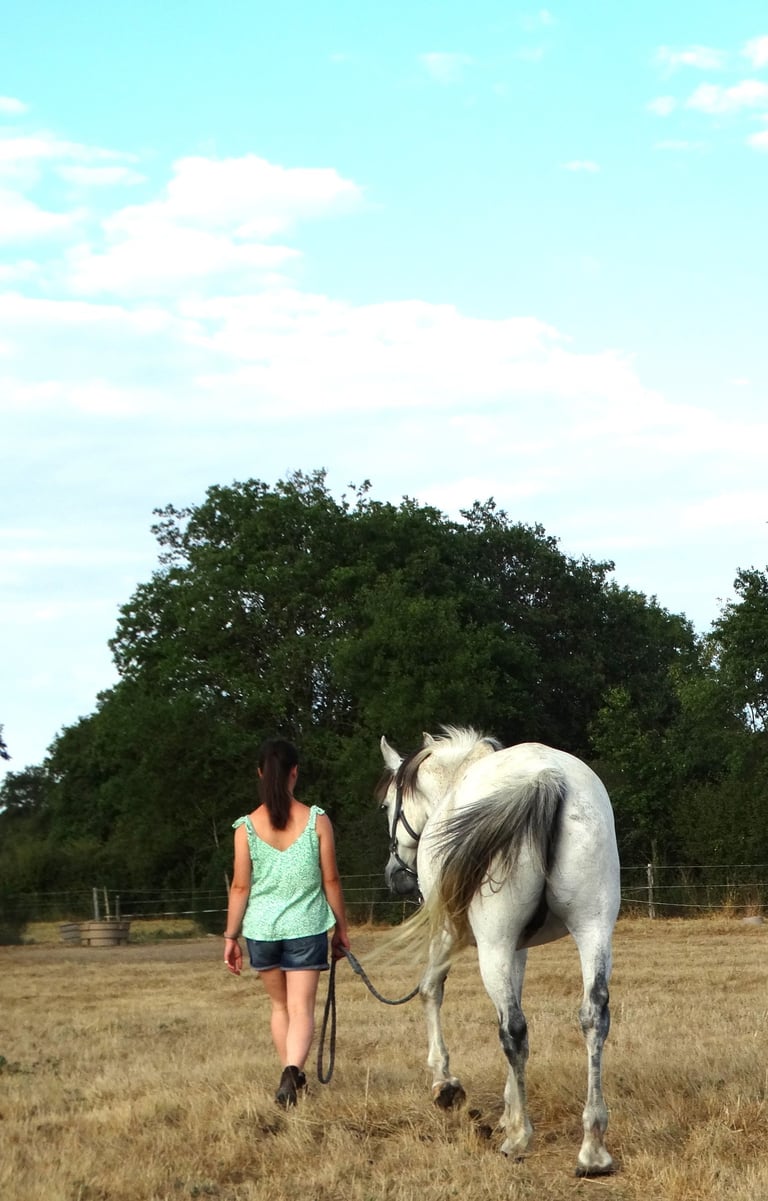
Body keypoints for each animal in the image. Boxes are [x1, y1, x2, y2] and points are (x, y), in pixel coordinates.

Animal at [378, 726, 620, 1176]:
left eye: (387, 804)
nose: (396, 878)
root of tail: (546, 777)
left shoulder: (453, 933)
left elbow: (431, 989)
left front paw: (445, 1084)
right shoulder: (518, 948)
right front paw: (509, 1108)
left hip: (494, 943)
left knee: (514, 1028)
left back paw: (520, 1139)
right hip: (593, 927)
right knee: (592, 1016)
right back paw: (592, 1147)